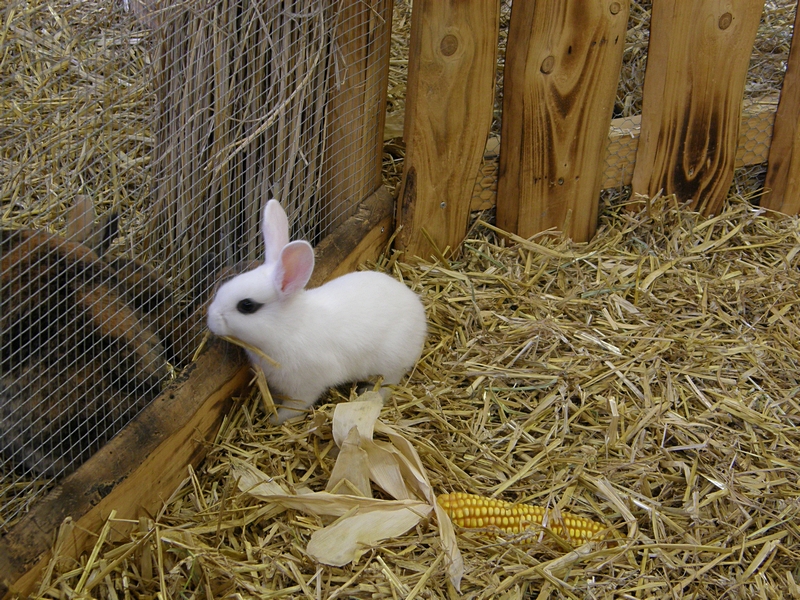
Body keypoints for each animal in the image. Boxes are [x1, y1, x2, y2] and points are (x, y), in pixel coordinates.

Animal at [206, 199, 427, 424]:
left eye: (247, 306)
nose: (211, 319)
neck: (287, 328)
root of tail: (419, 313)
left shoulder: (305, 387)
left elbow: (295, 408)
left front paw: (275, 420)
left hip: (391, 363)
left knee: (389, 382)